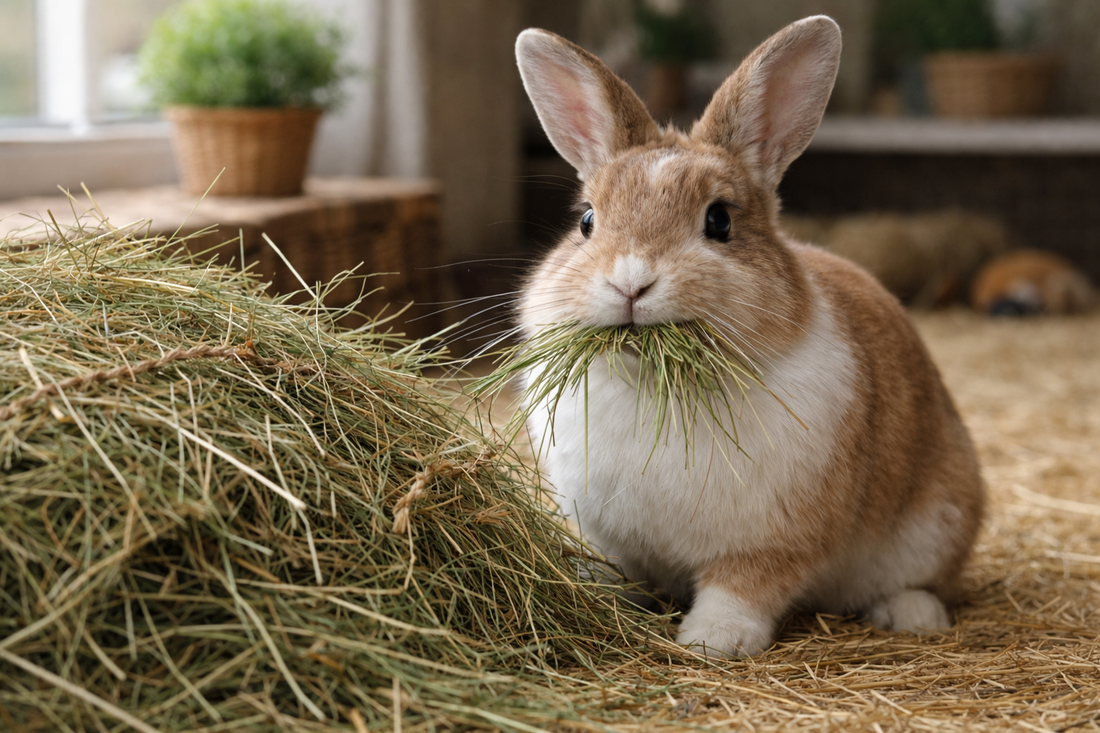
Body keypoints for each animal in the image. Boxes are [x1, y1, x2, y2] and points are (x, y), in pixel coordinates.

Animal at [514, 16, 984, 658]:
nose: (631, 281)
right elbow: (613, 571)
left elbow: (742, 590)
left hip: (936, 523)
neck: (655, 386)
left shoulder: (772, 543)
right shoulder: (606, 534)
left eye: (719, 221)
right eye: (587, 221)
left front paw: (711, 642)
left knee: (922, 581)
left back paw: (912, 617)